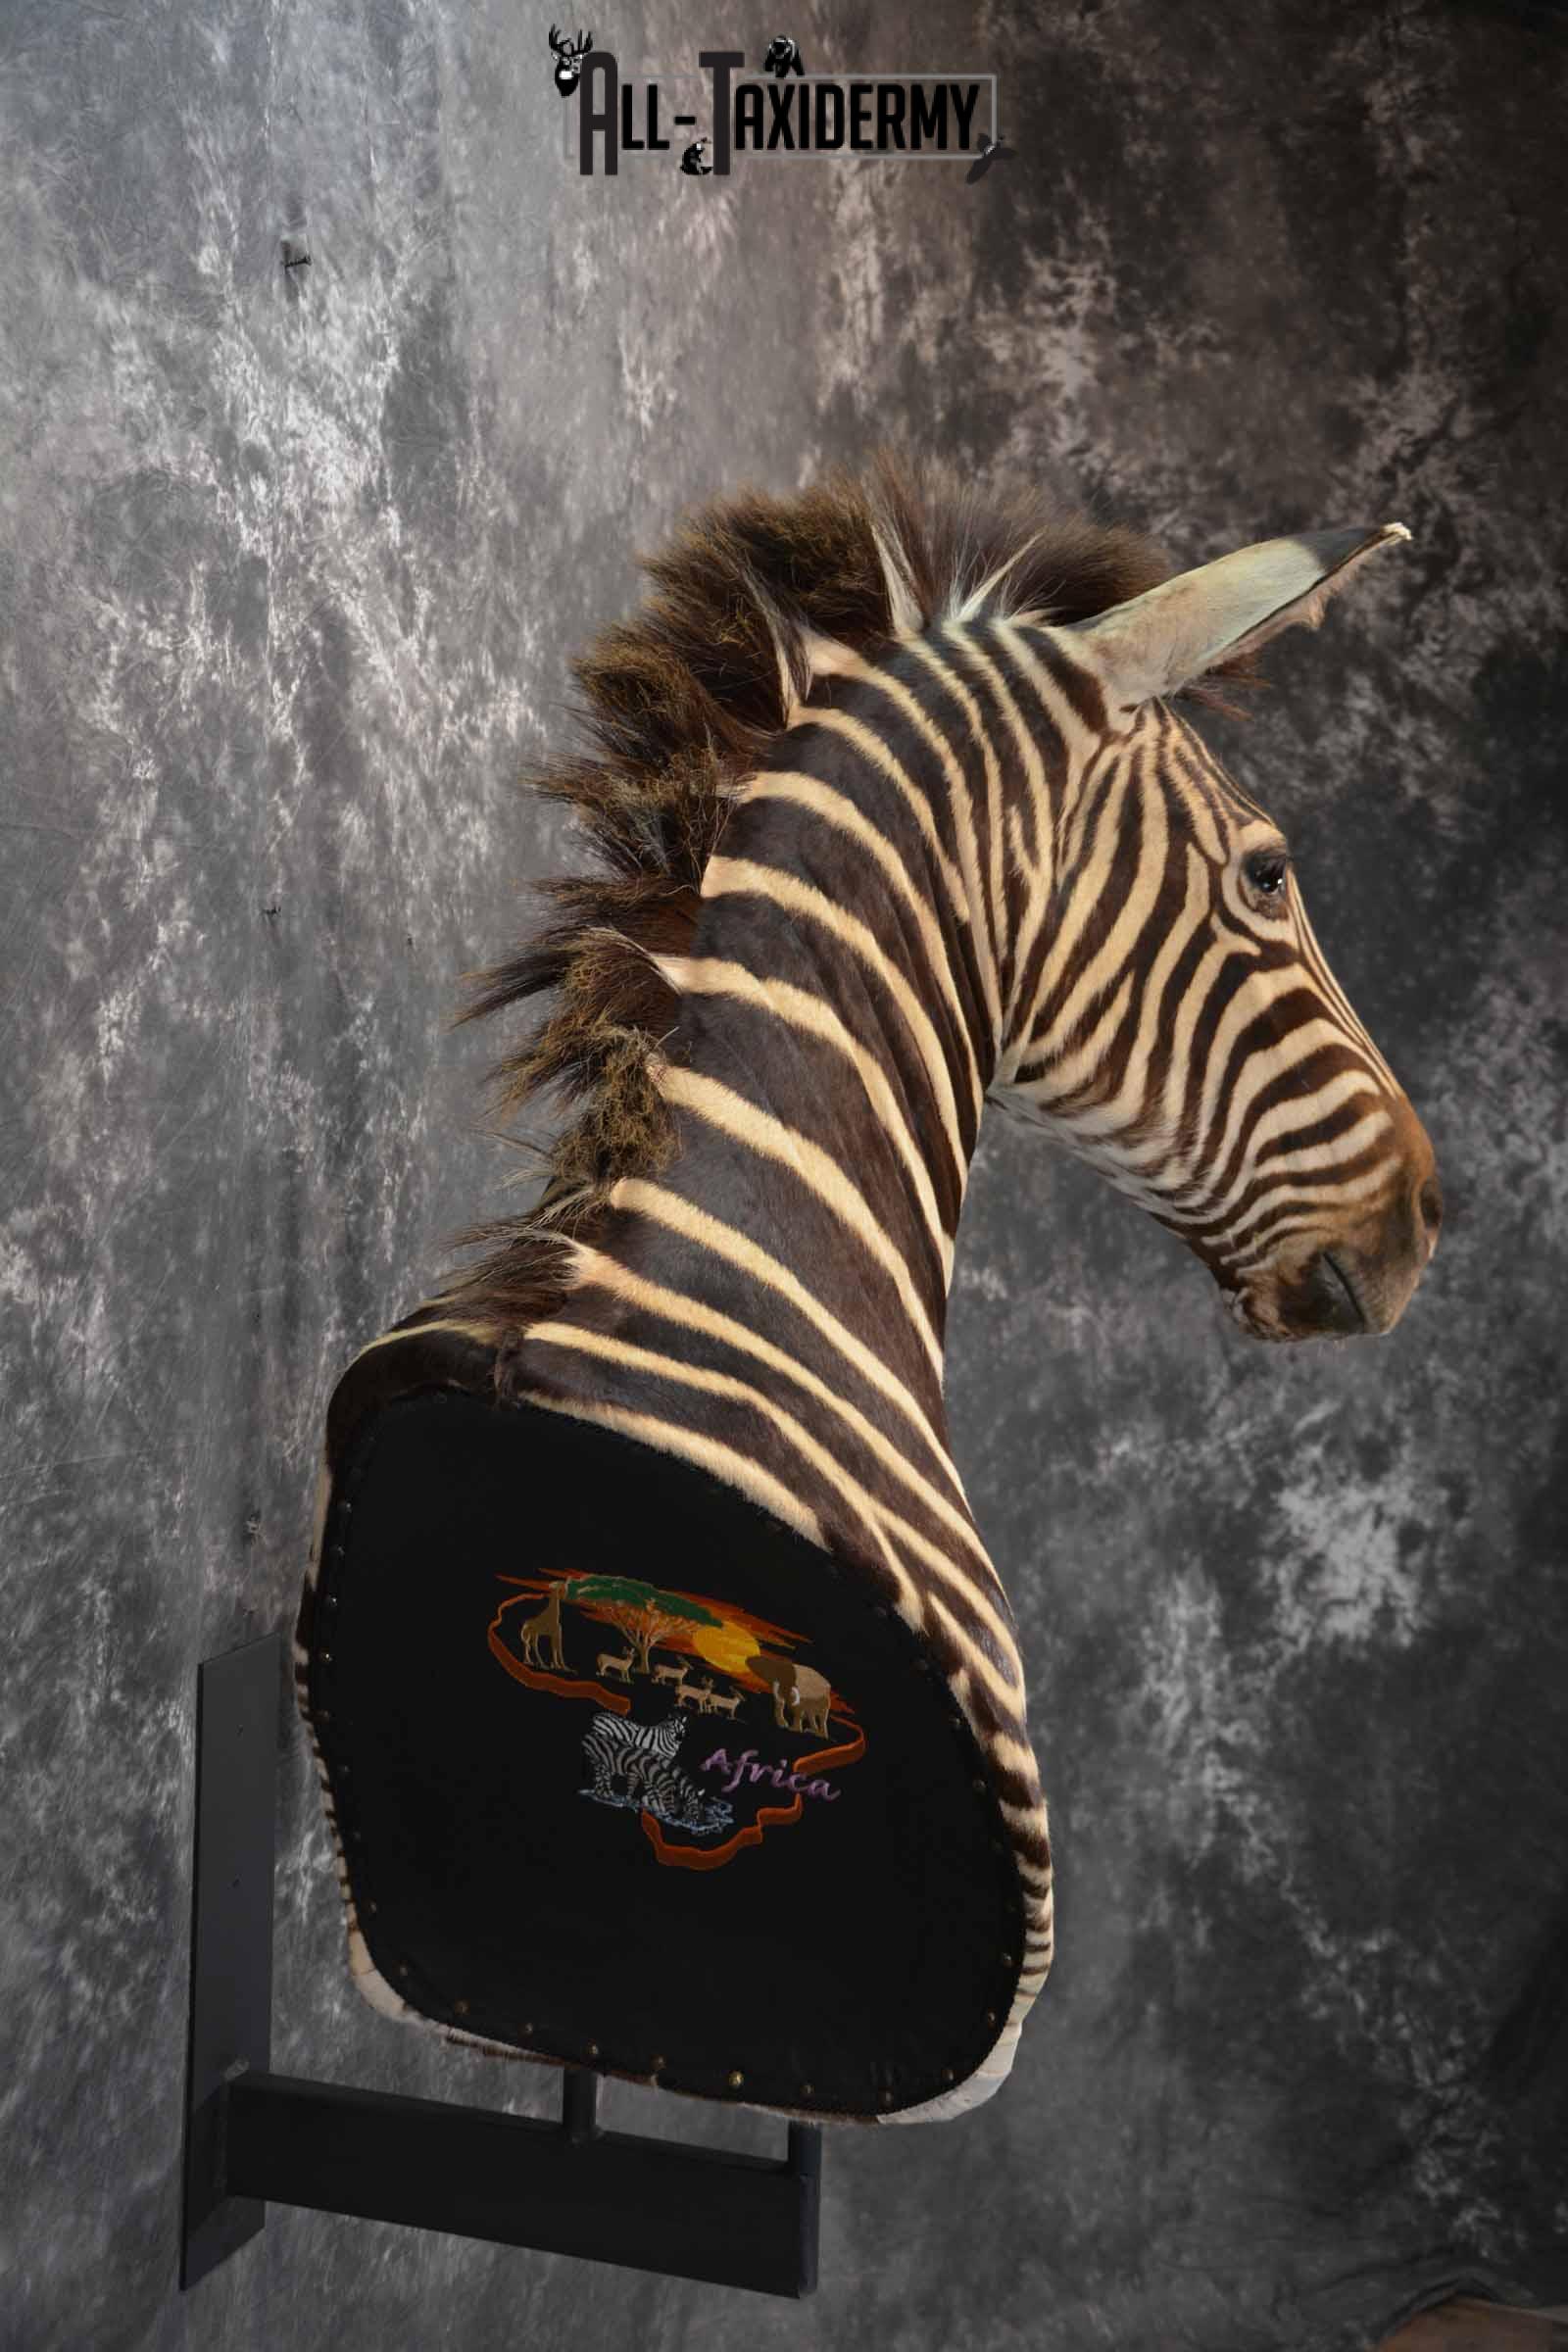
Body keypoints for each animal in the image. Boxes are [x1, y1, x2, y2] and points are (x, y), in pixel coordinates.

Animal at [579, 1710, 734, 1837]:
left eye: (682, 1730)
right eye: (673, 1730)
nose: (700, 1823)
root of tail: (598, 1715)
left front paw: (655, 1804)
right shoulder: (652, 1760)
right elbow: (655, 1785)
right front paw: (658, 1806)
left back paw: (604, 1793)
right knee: (601, 1770)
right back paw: (603, 1793)